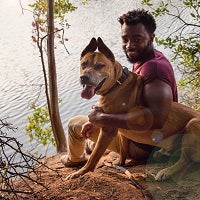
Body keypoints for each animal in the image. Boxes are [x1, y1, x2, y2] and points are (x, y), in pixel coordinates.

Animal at [67, 37, 200, 181]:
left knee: (185, 160)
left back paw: (167, 171)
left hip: (192, 125)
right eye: (84, 64)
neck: (116, 84)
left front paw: (80, 172)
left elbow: (94, 156)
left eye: (99, 66)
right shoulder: (121, 132)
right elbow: (123, 149)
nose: (84, 77)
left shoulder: (107, 129)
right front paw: (121, 163)